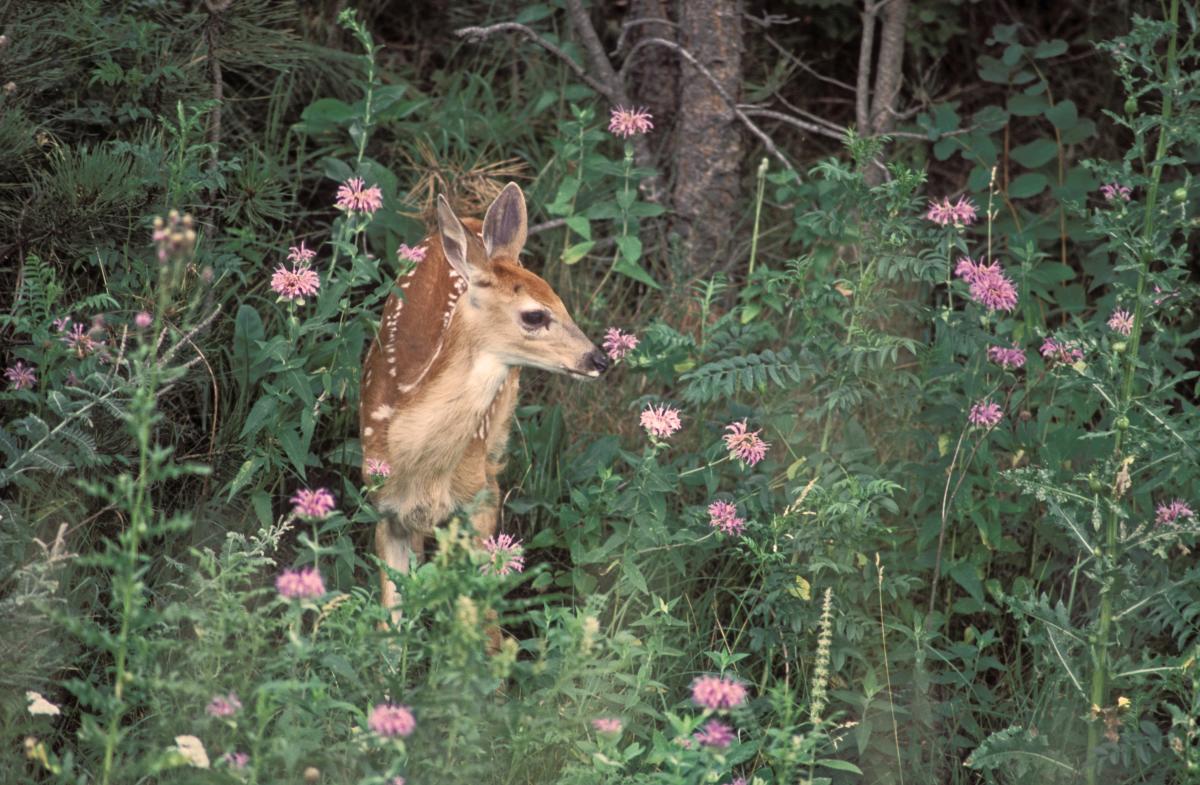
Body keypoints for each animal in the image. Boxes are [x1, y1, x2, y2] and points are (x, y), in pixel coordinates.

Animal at [360, 182, 609, 620]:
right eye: (535, 316)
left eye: (561, 302)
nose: (599, 359)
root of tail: (473, 222)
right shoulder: (383, 509)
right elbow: (390, 620)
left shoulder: (481, 500)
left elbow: (479, 612)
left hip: (497, 435)